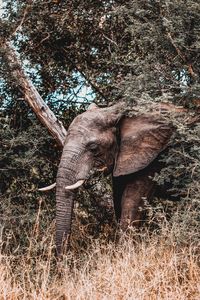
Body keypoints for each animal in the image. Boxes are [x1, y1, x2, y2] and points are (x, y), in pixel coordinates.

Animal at [40, 102, 173, 254]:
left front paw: (125, 253)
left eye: (93, 148)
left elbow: (132, 200)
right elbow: (118, 199)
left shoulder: (154, 156)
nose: (63, 258)